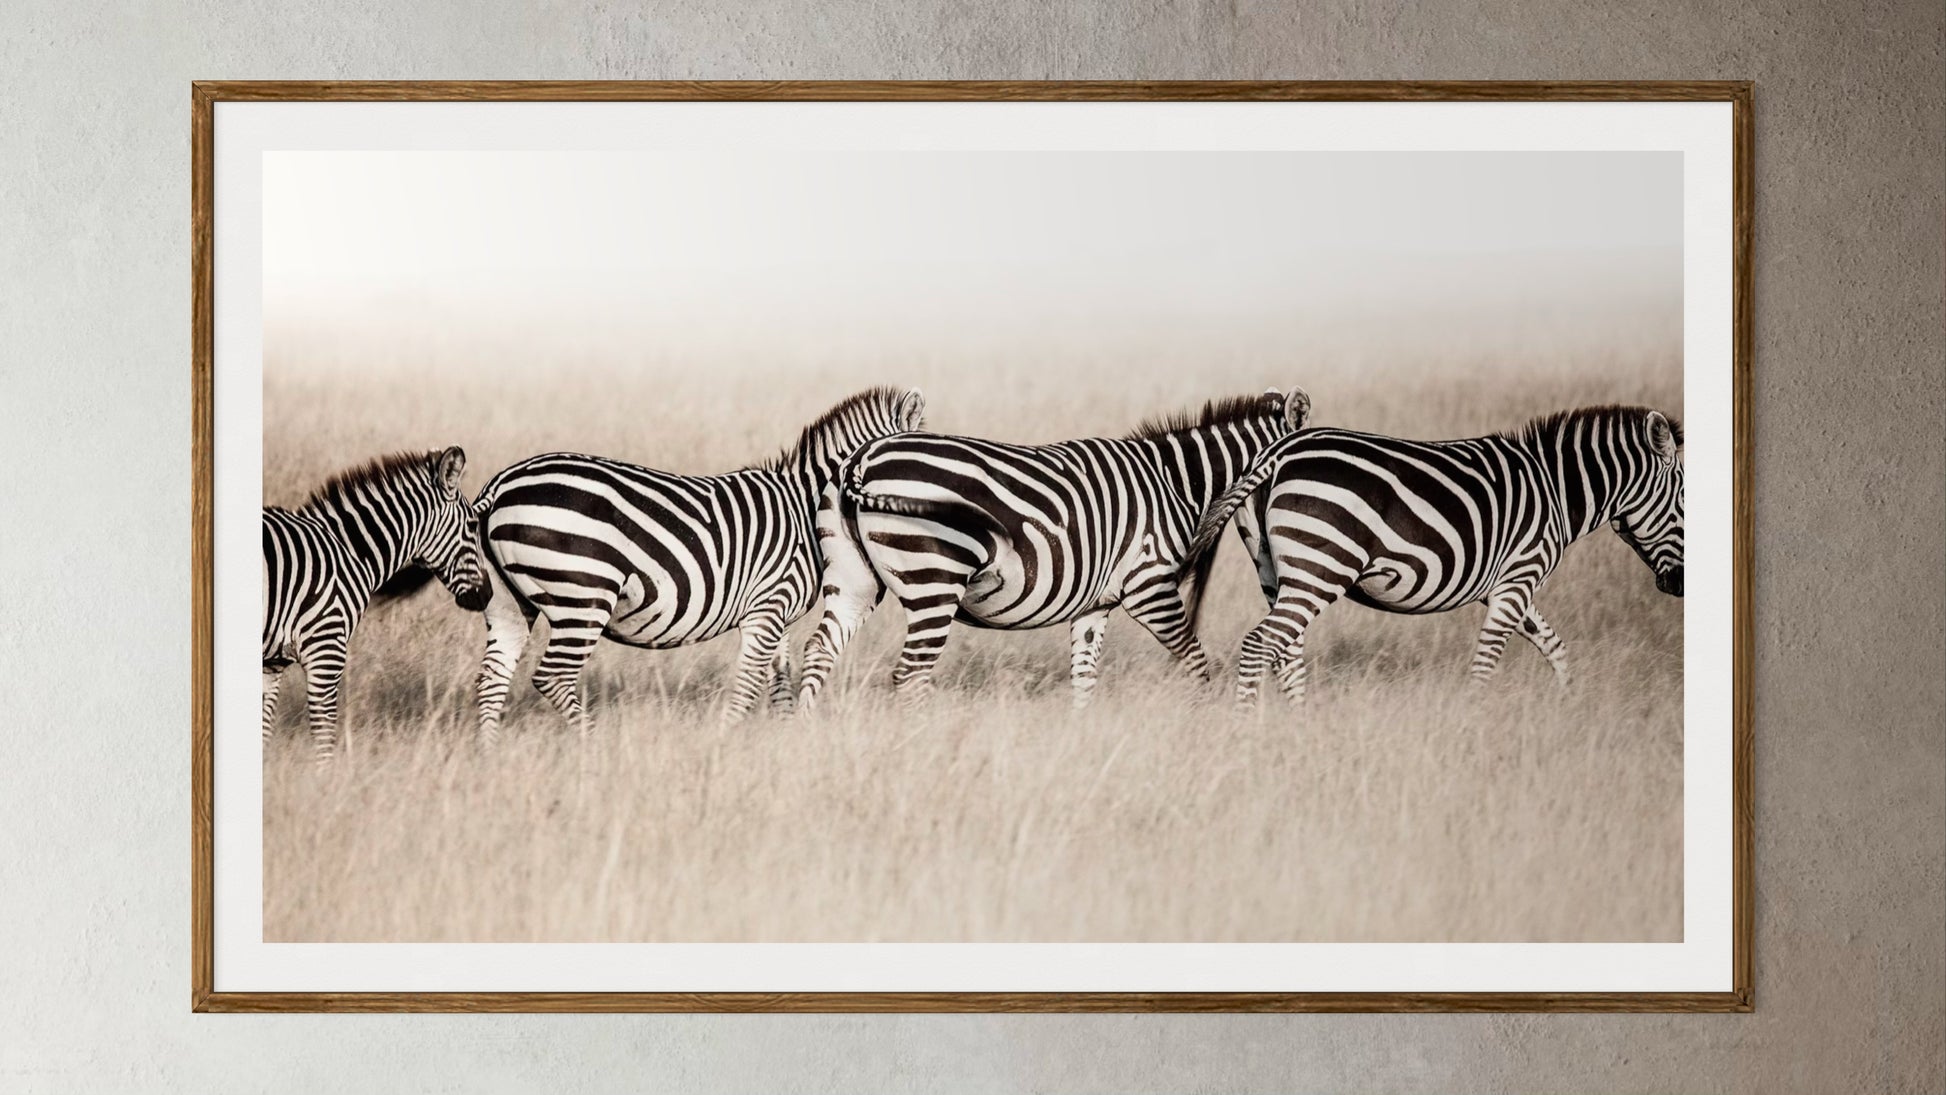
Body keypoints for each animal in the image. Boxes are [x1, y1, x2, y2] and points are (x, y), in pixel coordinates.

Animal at [262, 446, 490, 763]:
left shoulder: (272, 664)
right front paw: (326, 776)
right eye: (472, 525)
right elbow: (324, 737)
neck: (348, 552)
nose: (488, 594)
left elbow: (263, 733)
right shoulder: (326, 650)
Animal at [470, 386, 925, 743]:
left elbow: (779, 682)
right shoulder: (767, 606)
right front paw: (722, 742)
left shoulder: (774, 612)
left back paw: (489, 754)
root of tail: (499, 485)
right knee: (553, 676)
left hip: (509, 602)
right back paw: (595, 745)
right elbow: (749, 684)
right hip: (583, 594)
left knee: (492, 677)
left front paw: (784, 739)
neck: (804, 506)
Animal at [795, 388, 1312, 711]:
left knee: (819, 651)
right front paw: (1201, 721)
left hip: (854, 582)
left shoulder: (1095, 605)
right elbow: (1194, 660)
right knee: (910, 674)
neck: (1175, 480)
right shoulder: (1150, 585)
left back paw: (804, 731)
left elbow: (1084, 677)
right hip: (934, 581)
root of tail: (861, 462)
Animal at [1182, 404, 1685, 709]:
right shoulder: (1519, 577)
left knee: (1286, 651)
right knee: (1260, 644)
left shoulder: (1505, 586)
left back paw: (1297, 724)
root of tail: (1279, 452)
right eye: (1685, 500)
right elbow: (1487, 659)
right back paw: (1247, 728)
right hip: (1321, 568)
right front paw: (1475, 722)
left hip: (1275, 569)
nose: (1678, 587)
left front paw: (1567, 703)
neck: (1556, 489)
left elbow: (1553, 645)